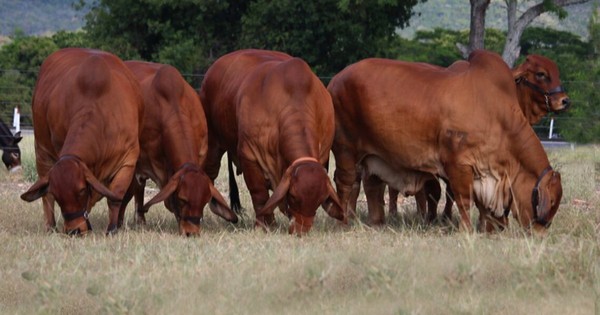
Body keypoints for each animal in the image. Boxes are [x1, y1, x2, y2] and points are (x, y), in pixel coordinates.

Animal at [20, 48, 143, 236]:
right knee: (45, 196)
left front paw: (112, 228)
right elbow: (49, 194)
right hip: (41, 150)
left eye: (82, 190)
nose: (74, 230)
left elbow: (115, 197)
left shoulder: (128, 160)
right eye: (58, 194)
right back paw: (50, 226)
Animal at [199, 48, 344, 235]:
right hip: (213, 143)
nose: (300, 230)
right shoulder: (250, 155)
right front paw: (264, 224)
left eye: (320, 200)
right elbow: (260, 194)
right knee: (210, 172)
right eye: (293, 196)